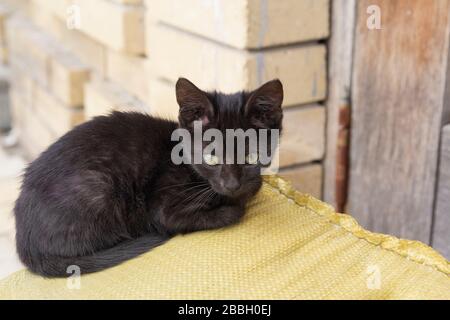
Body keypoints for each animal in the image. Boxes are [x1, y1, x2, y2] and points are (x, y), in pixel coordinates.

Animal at [14, 78, 284, 278]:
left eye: (251, 156)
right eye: (211, 157)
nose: (232, 185)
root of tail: (25, 243)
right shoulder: (163, 208)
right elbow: (229, 212)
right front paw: (234, 204)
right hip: (98, 187)